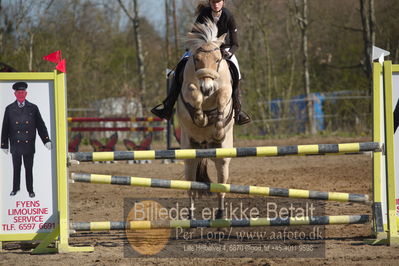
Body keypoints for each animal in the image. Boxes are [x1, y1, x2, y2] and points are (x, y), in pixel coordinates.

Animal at [177, 18, 236, 218]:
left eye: (218, 60)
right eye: (197, 59)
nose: (207, 89)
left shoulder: (225, 90)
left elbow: (223, 99)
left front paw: (217, 128)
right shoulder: (189, 89)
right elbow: (193, 93)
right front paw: (201, 118)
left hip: (223, 158)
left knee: (221, 187)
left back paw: (220, 215)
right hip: (189, 155)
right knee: (191, 188)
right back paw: (190, 215)